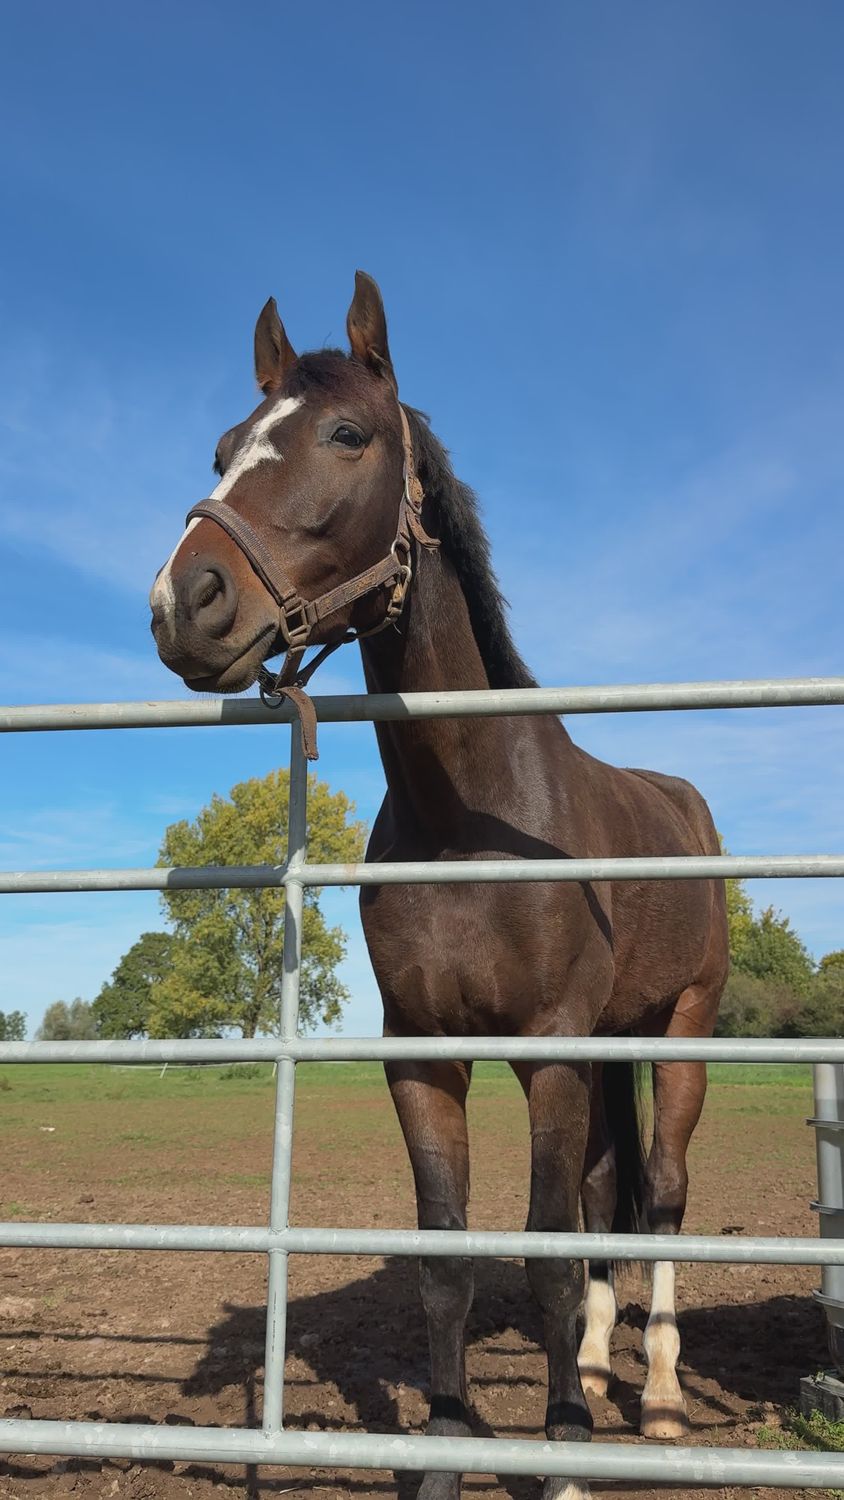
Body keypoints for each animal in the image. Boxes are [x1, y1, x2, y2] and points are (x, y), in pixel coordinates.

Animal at [149, 272, 728, 1500]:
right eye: (223, 447)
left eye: (347, 434)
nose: (186, 602)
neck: (471, 823)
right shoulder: (424, 1058)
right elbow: (450, 1262)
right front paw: (452, 1449)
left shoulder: (550, 1051)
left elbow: (546, 1256)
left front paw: (560, 1456)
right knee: (608, 1199)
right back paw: (592, 1373)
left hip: (682, 1031)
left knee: (659, 1193)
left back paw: (652, 1400)